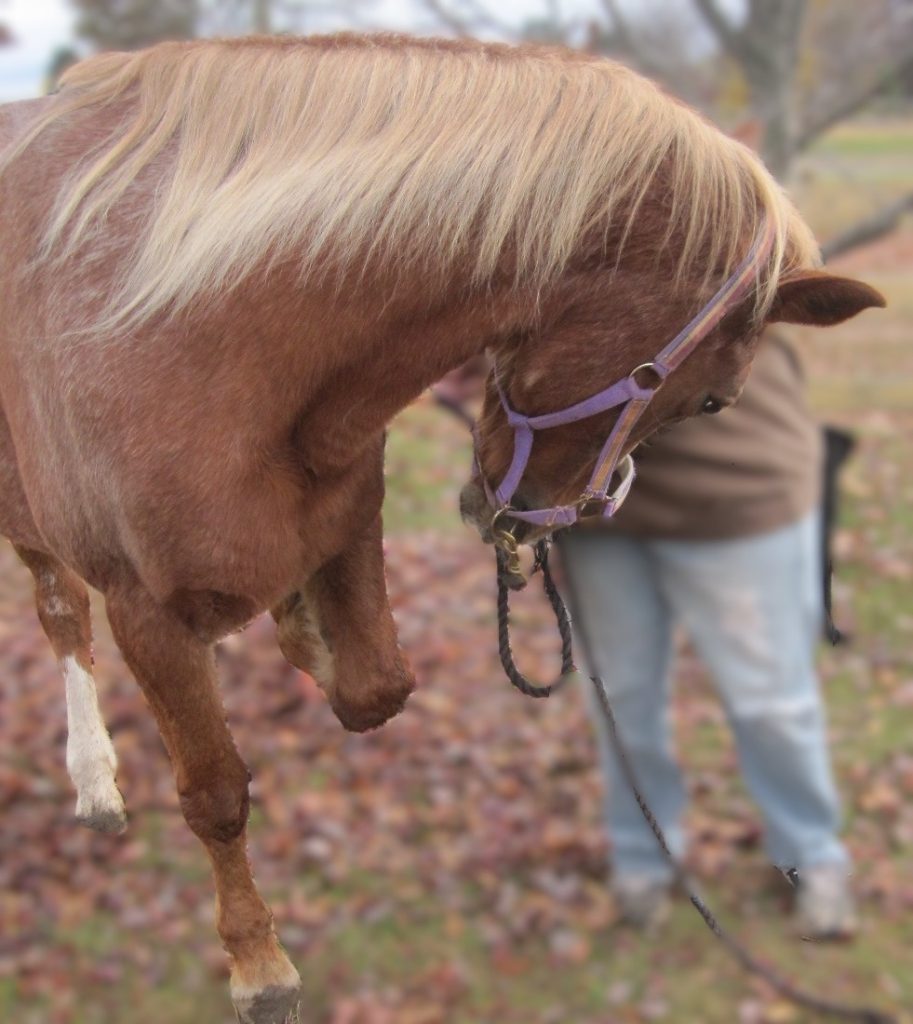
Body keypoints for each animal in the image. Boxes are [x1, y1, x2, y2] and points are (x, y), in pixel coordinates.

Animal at [0, 33, 883, 1024]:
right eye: (712, 401)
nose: (524, 518)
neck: (188, 328)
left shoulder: (347, 528)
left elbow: (374, 688)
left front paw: (306, 635)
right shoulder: (147, 614)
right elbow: (217, 792)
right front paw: (259, 963)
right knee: (60, 617)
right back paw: (93, 777)